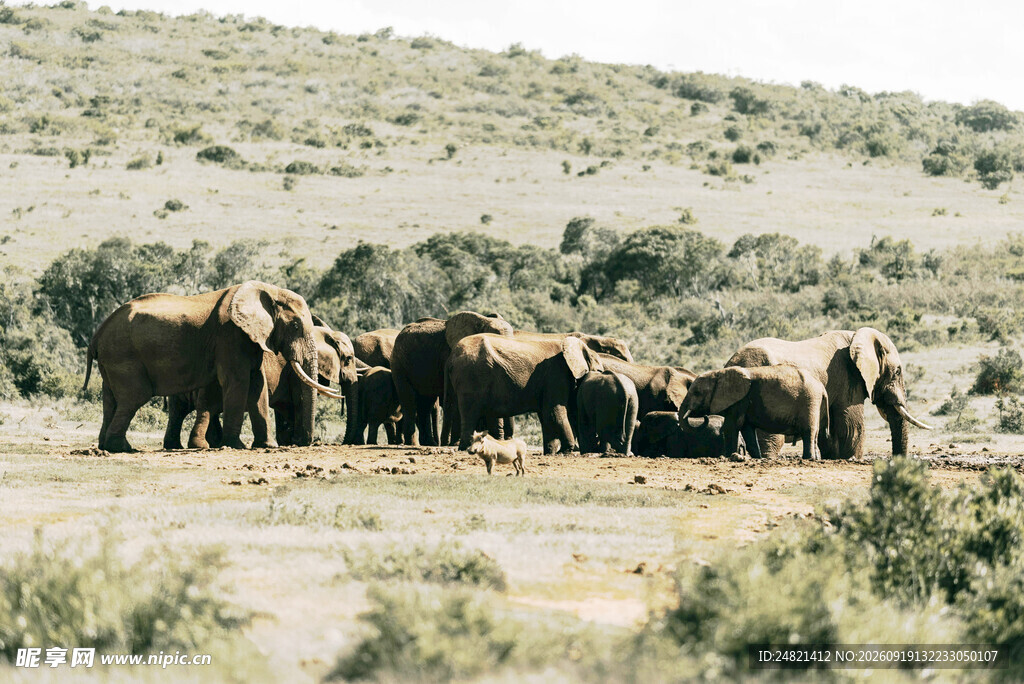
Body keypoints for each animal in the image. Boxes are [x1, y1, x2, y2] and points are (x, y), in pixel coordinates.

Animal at [164, 320, 358, 449]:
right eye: (349, 359)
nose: (309, 441)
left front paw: (289, 441)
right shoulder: (293, 371)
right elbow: (300, 401)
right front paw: (298, 441)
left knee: (179, 410)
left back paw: (178, 446)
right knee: (204, 407)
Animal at [391, 312, 514, 446]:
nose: (508, 439)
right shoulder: (449, 355)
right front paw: (455, 443)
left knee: (426, 403)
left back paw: (430, 443)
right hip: (399, 364)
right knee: (409, 401)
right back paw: (414, 444)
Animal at [447, 333, 605, 454]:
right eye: (599, 371)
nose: (595, 448)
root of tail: (452, 356)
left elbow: (545, 415)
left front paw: (550, 452)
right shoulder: (556, 374)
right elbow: (554, 412)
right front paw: (567, 451)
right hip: (471, 376)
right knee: (470, 413)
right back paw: (466, 449)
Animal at [679, 365, 830, 461]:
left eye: (696, 393)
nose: (705, 416)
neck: (719, 373)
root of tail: (822, 388)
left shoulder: (739, 401)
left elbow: (731, 427)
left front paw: (728, 457)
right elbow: (747, 429)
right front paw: (758, 458)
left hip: (809, 400)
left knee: (808, 431)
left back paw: (808, 459)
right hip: (814, 402)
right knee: (814, 433)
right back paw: (814, 459)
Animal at [727, 328, 932, 459]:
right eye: (897, 372)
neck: (857, 336)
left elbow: (829, 431)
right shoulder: (848, 379)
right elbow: (851, 428)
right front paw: (851, 459)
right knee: (771, 440)